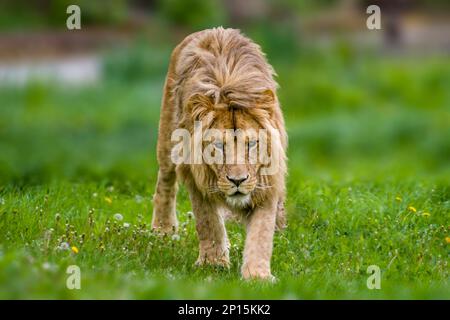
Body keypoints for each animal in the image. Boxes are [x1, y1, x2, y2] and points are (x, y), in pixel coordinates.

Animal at [152, 27, 288, 278]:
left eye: (251, 144)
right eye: (218, 145)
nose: (237, 180)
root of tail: (213, 29)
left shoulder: (267, 181)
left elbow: (261, 233)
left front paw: (257, 276)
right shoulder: (196, 177)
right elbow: (208, 222)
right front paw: (213, 263)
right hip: (167, 137)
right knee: (165, 181)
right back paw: (163, 229)